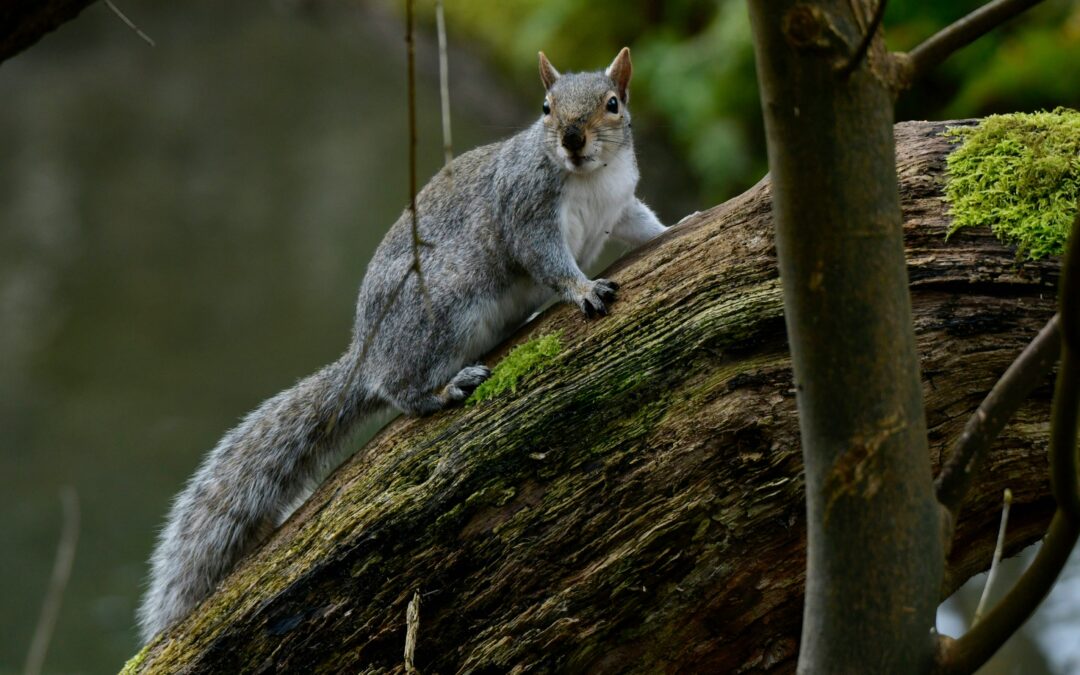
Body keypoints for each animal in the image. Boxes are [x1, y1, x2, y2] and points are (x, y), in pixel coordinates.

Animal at [137, 47, 666, 642]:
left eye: (613, 103)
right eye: (546, 107)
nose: (573, 138)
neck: (591, 177)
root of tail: (365, 356)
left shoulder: (618, 207)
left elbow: (642, 223)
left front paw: (681, 224)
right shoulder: (526, 214)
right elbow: (548, 261)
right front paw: (582, 289)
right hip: (443, 312)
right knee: (401, 391)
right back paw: (444, 388)